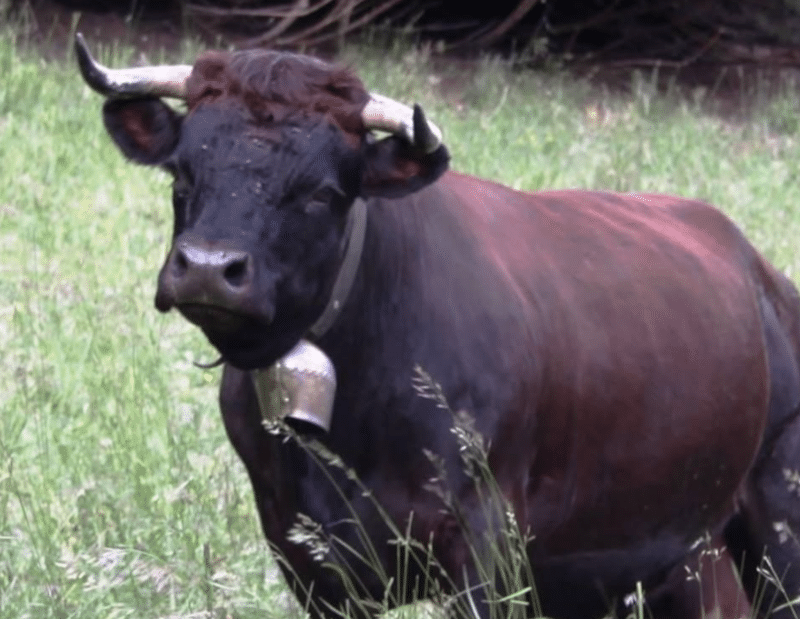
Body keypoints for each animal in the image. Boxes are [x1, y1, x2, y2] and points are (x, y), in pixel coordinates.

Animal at [75, 32, 800, 619]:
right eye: (182, 172)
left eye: (322, 192)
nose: (207, 267)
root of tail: (763, 274)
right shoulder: (307, 553)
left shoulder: (486, 547)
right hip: (675, 558)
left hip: (777, 528)